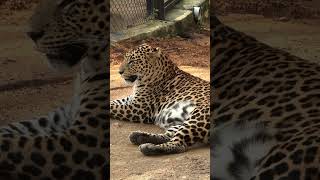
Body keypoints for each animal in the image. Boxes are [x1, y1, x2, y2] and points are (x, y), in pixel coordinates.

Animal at [0, 0, 110, 179]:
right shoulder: (60, 118)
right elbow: (16, 128)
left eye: (68, 3)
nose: (30, 34)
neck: (87, 68)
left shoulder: (82, 142)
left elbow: (14, 144)